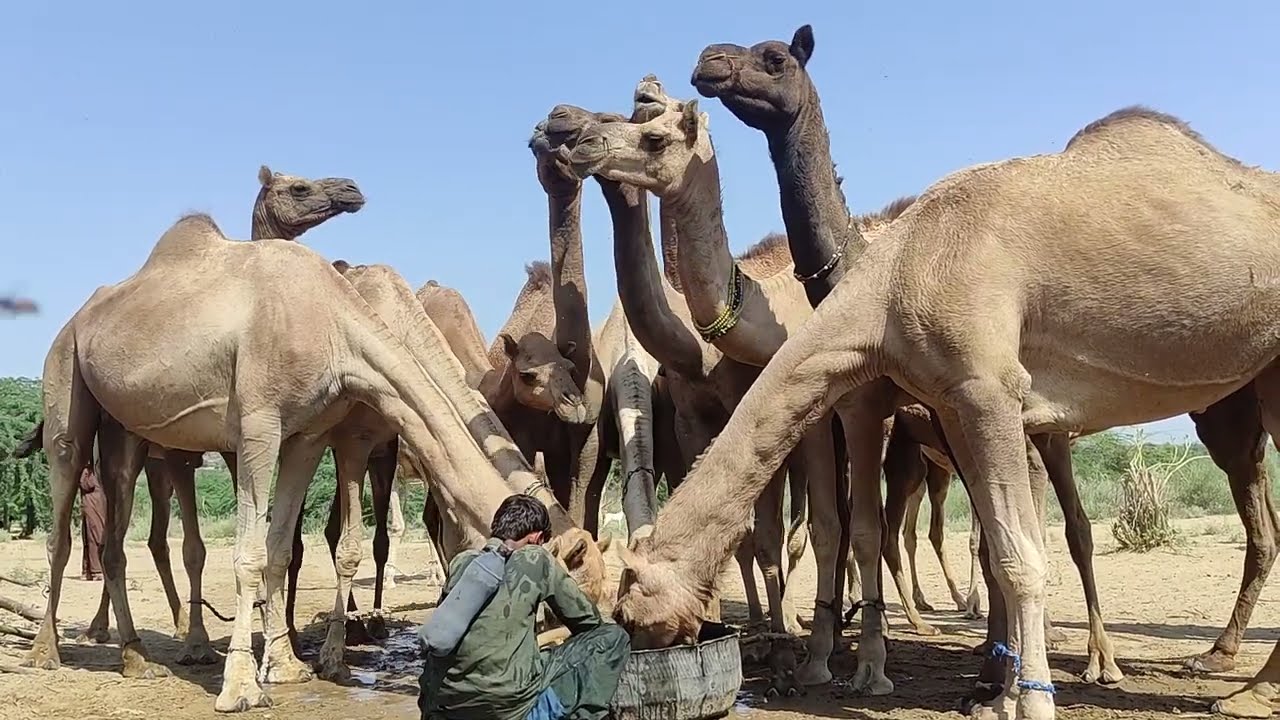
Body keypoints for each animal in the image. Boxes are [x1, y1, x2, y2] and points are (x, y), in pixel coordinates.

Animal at [603, 104, 1280, 719]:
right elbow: (998, 550)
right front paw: (996, 698)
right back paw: (1245, 688)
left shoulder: (987, 386)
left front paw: (1031, 703)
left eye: (629, 594)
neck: (894, 276)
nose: (635, 636)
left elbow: (1020, 558)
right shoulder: (953, 401)